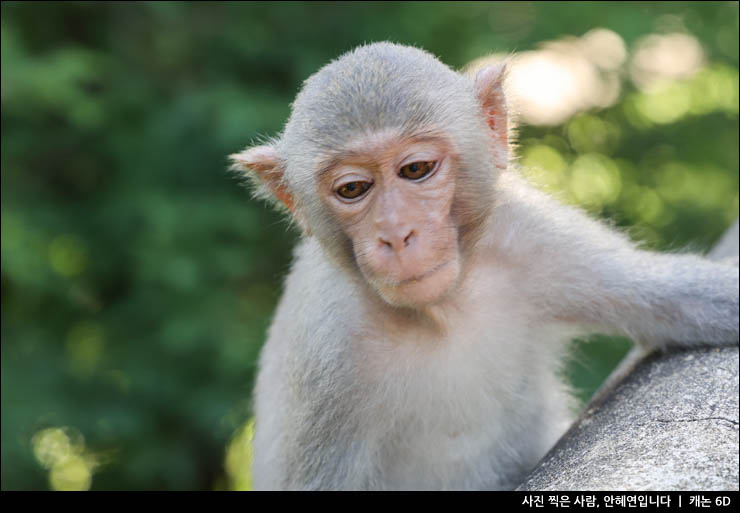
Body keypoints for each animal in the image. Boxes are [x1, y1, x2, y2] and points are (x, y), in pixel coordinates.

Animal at [228, 42, 736, 490]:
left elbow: (688, 299)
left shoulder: (534, 238)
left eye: (415, 170)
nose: (396, 233)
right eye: (353, 189)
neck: (443, 310)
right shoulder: (328, 354)